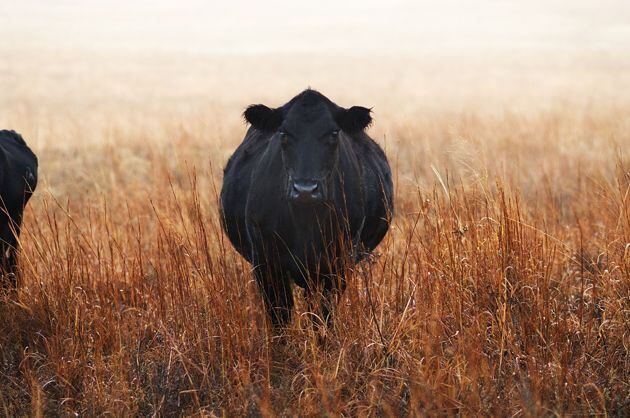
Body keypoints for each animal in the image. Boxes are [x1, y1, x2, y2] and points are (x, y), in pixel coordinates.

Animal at [220, 90, 392, 330]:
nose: (305, 189)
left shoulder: (338, 263)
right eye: (283, 133)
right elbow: (280, 317)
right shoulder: (266, 263)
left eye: (333, 133)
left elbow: (323, 316)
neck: (305, 222)